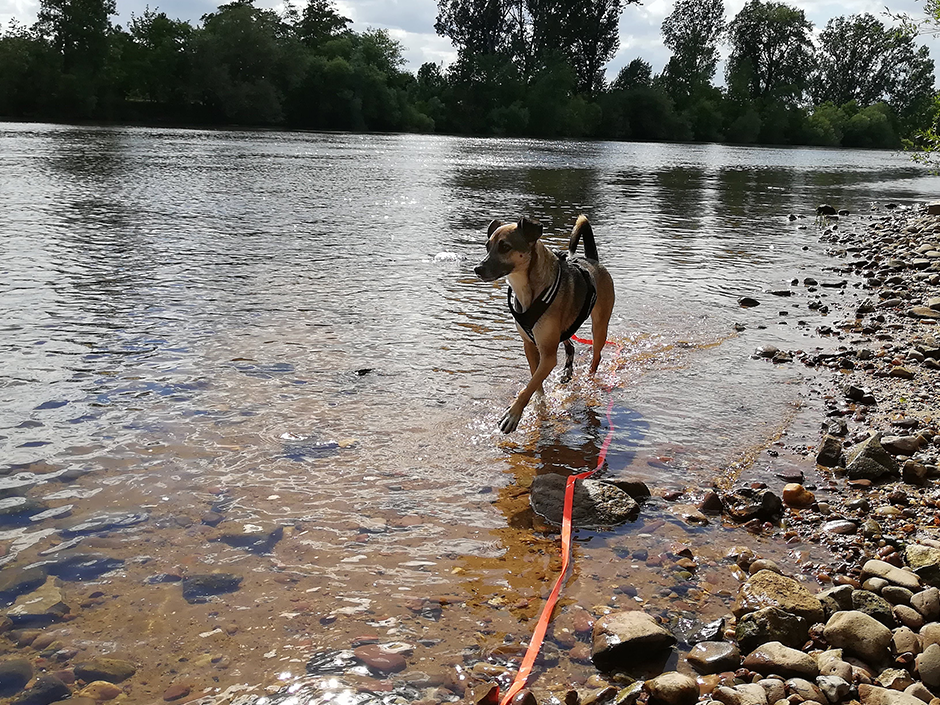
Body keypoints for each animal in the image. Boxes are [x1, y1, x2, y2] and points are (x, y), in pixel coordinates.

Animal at [470, 214, 616, 432]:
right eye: (487, 246)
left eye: (505, 247)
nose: (477, 268)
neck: (527, 289)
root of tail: (593, 260)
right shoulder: (530, 346)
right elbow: (535, 382)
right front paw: (540, 406)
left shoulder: (548, 357)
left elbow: (528, 386)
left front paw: (513, 415)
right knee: (569, 343)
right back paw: (567, 371)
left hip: (599, 327)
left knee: (596, 356)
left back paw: (588, 379)